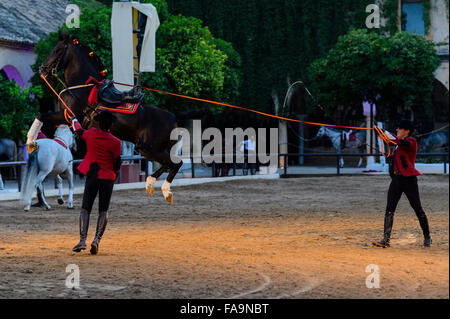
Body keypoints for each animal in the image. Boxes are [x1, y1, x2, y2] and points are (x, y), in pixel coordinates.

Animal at [30, 31, 200, 204]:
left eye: (57, 50)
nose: (42, 70)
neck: (82, 86)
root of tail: (174, 116)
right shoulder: (68, 118)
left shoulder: (67, 116)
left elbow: (41, 115)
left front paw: (31, 142)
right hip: (147, 148)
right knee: (169, 164)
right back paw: (150, 183)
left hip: (150, 147)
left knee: (176, 163)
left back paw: (165, 190)